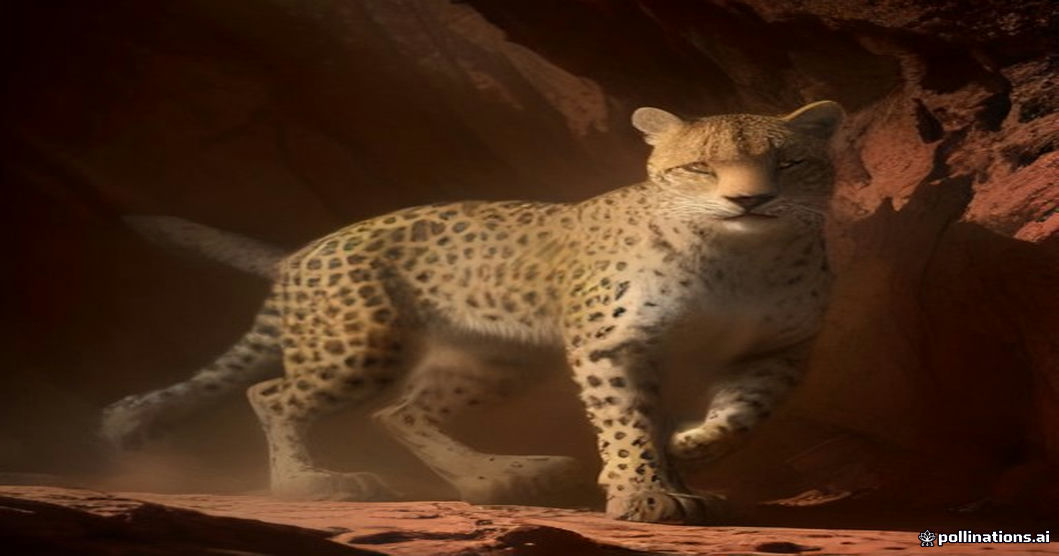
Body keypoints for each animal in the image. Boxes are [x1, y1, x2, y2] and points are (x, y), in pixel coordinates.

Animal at [101, 100, 844, 525]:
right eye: (699, 168)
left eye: (789, 163)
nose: (749, 201)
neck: (740, 256)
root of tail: (307, 249)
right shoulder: (614, 345)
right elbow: (627, 423)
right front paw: (643, 491)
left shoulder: (778, 351)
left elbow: (741, 417)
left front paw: (687, 450)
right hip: (361, 341)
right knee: (273, 395)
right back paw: (309, 484)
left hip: (493, 356)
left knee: (402, 411)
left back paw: (501, 478)